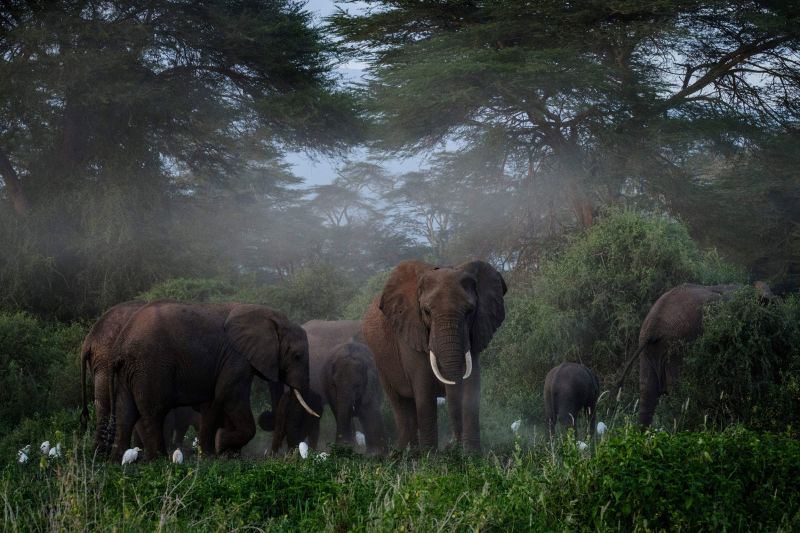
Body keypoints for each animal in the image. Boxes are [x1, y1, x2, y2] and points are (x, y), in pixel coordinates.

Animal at [107, 301, 319, 460]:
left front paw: (215, 455)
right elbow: (229, 396)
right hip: (150, 365)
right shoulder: (235, 357)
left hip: (131, 369)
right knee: (153, 411)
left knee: (125, 411)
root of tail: (121, 342)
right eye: (297, 356)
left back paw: (119, 460)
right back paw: (157, 459)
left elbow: (214, 402)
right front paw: (221, 443)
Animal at [363, 260, 506, 453]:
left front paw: (473, 455)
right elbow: (424, 390)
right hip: (380, 362)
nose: (453, 446)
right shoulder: (411, 333)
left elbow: (472, 385)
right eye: (426, 311)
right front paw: (431, 457)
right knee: (401, 405)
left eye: (470, 311)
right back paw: (405, 453)